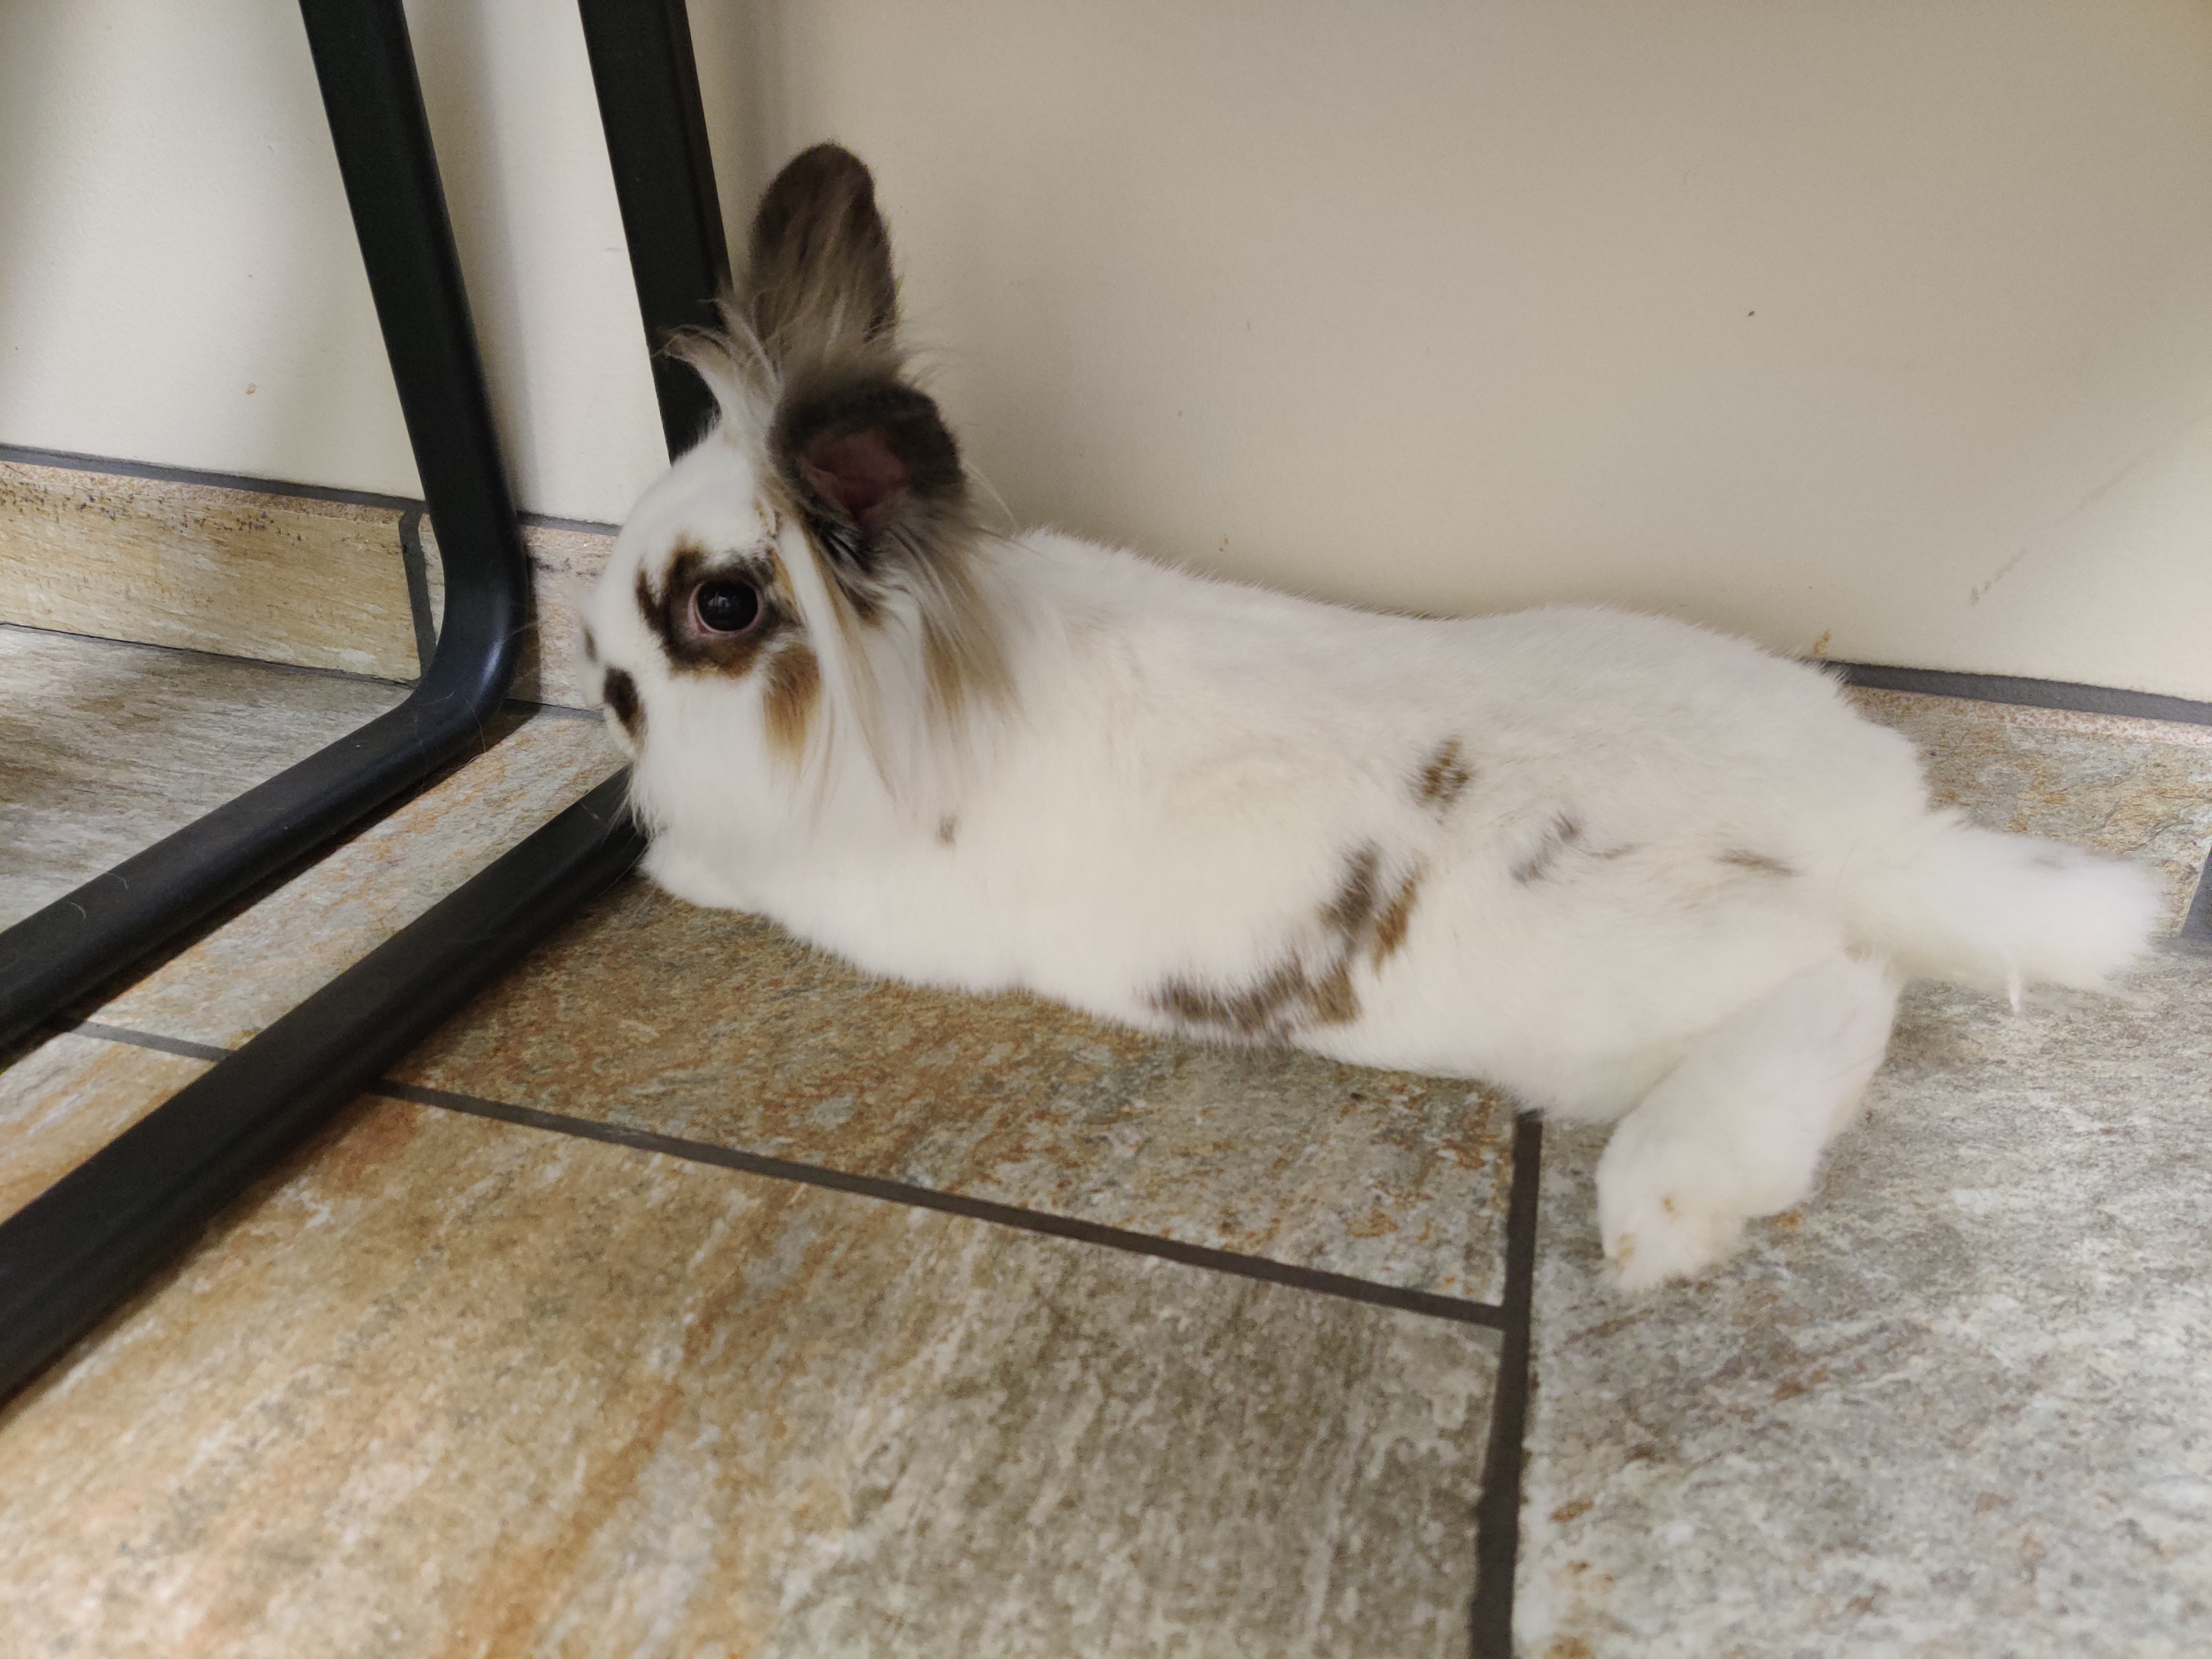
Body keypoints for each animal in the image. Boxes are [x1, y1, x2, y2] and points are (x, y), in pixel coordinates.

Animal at [580, 144, 2162, 1291]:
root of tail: (1879, 850)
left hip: (1660, 987)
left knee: (1837, 992)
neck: (918, 682)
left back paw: (1660, 1211)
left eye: (719, 606)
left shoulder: (863, 898)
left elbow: (750, 874)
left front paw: (667, 859)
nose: (597, 682)